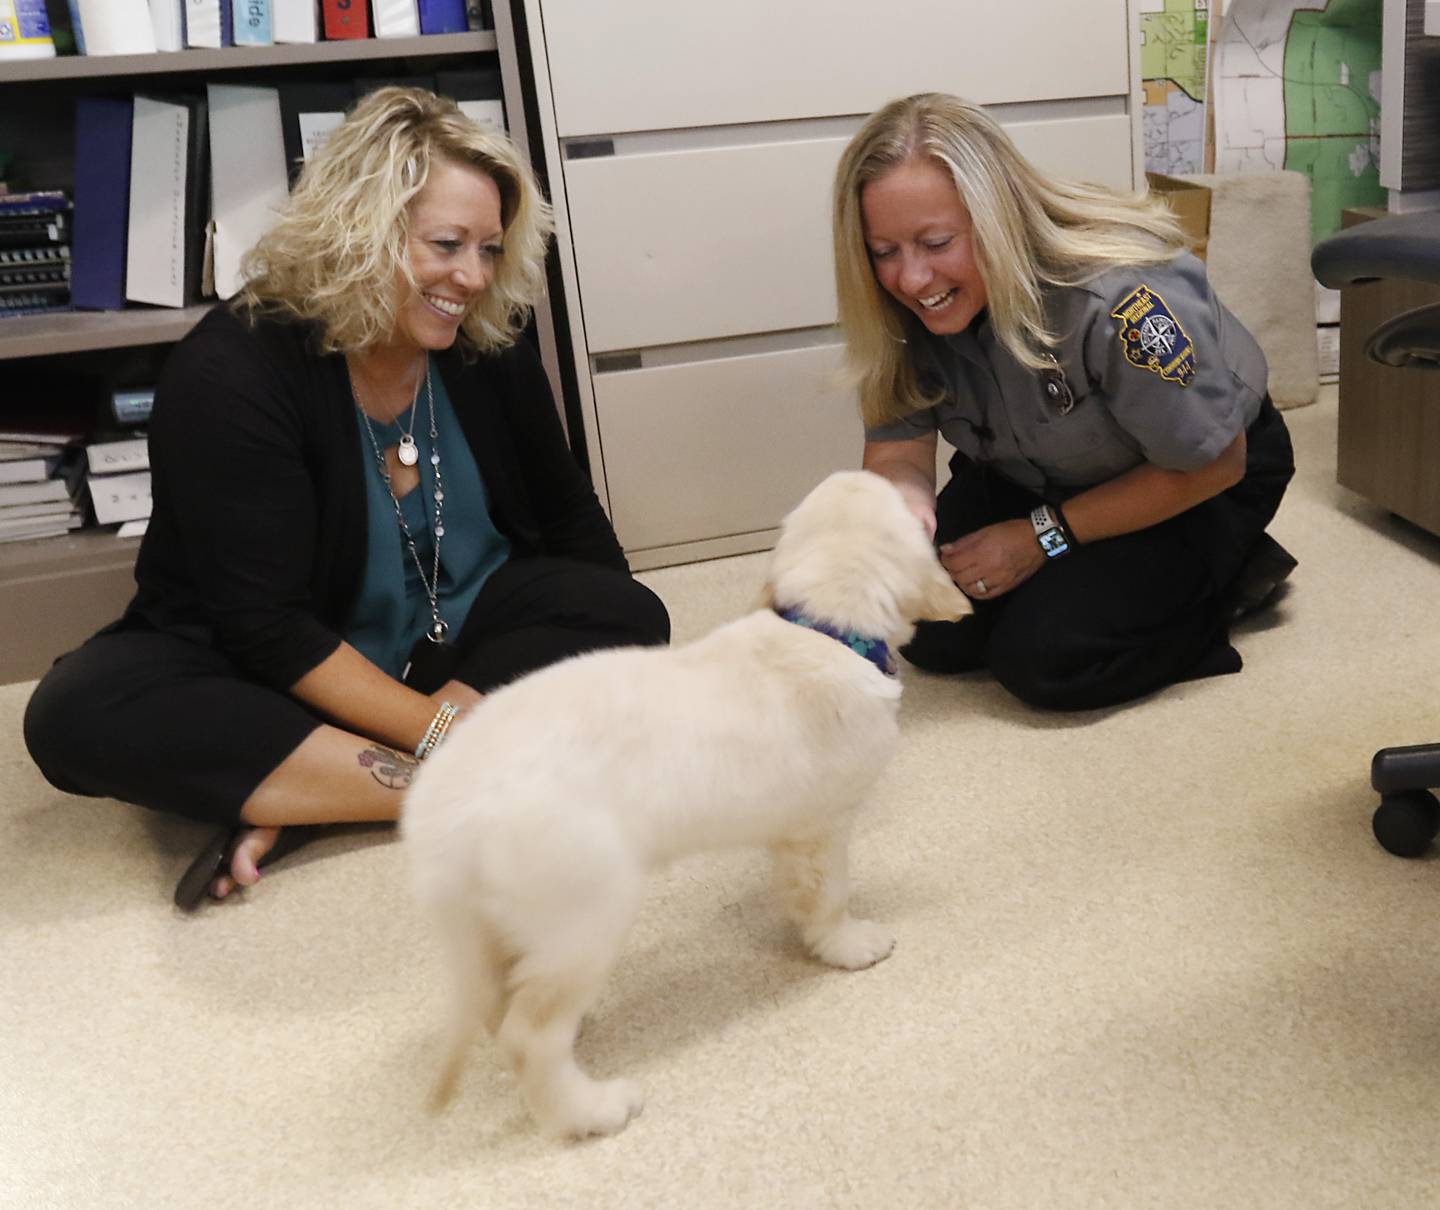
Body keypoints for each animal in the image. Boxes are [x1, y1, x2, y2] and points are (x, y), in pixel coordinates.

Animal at [400, 466, 973, 1140]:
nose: (881, 472)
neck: (824, 630)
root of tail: (437, 817)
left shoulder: (788, 832)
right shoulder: (822, 826)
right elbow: (828, 897)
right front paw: (847, 945)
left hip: (498, 925)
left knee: (501, 1002)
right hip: (586, 913)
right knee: (528, 1035)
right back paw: (590, 1110)